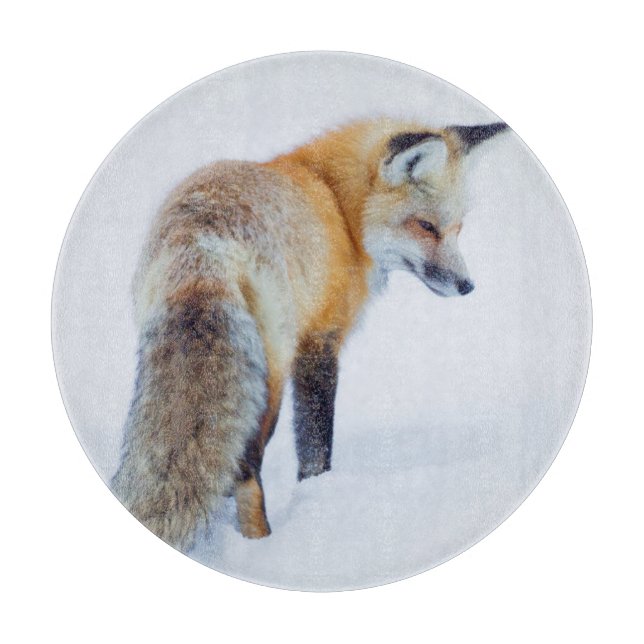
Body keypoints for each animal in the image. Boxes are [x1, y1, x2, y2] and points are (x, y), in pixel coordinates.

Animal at [111, 117, 508, 549]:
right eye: (426, 227)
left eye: (458, 228)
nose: (467, 285)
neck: (338, 206)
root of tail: (202, 243)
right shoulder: (319, 341)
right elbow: (316, 445)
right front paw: (317, 500)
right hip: (269, 380)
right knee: (245, 469)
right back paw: (260, 542)